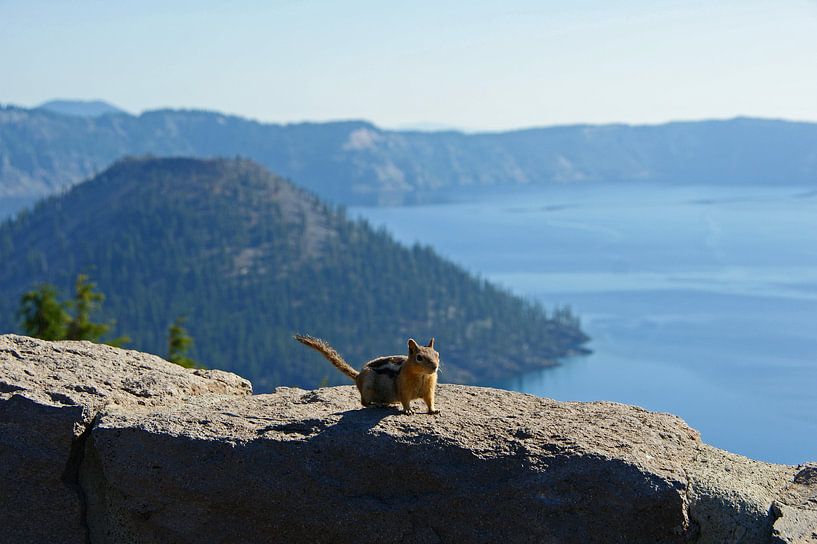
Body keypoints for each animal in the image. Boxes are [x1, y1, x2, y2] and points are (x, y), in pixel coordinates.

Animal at [294, 335, 440, 415]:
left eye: (437, 354)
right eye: (419, 358)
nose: (435, 366)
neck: (422, 376)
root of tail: (358, 376)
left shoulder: (429, 389)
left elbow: (430, 400)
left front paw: (433, 410)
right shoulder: (403, 388)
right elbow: (405, 400)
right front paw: (408, 410)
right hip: (368, 386)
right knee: (364, 402)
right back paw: (376, 405)